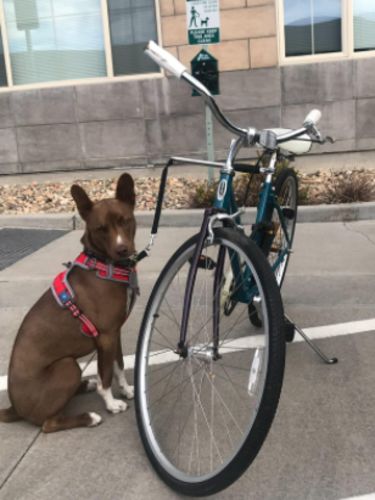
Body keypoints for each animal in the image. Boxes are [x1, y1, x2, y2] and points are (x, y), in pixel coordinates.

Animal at [0, 174, 138, 432]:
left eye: (125, 221)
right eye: (100, 229)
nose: (122, 249)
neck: (103, 265)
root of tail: (15, 408)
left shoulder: (115, 333)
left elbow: (119, 366)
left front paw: (125, 390)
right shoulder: (106, 337)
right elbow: (106, 375)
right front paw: (112, 403)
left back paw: (85, 386)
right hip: (67, 366)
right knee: (48, 424)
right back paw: (89, 417)